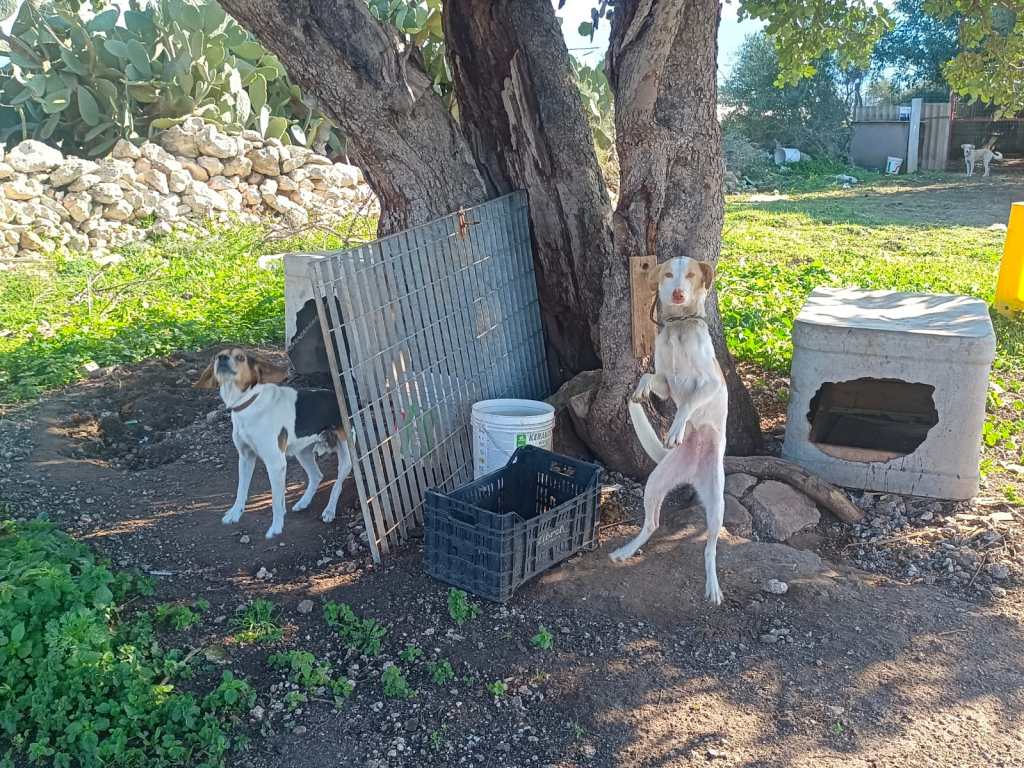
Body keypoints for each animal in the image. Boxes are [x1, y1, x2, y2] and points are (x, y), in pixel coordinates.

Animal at [195, 348, 352, 539]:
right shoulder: (246, 458)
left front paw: (276, 527)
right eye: (217, 356)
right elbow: (241, 490)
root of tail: (344, 397)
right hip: (302, 452)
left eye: (240, 357)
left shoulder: (275, 463)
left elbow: (276, 501)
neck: (247, 404)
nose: (222, 359)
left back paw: (329, 511)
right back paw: (303, 502)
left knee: (338, 482)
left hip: (346, 455)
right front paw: (234, 514)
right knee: (317, 476)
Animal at [610, 256, 728, 605]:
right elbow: (648, 377)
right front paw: (638, 392)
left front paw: (676, 430)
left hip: (717, 505)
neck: (678, 327)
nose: (677, 293)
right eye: (667, 275)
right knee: (652, 524)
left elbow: (688, 402)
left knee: (710, 548)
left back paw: (712, 586)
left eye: (690, 275)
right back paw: (627, 550)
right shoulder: (664, 382)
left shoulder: (711, 384)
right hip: (654, 485)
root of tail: (692, 471)